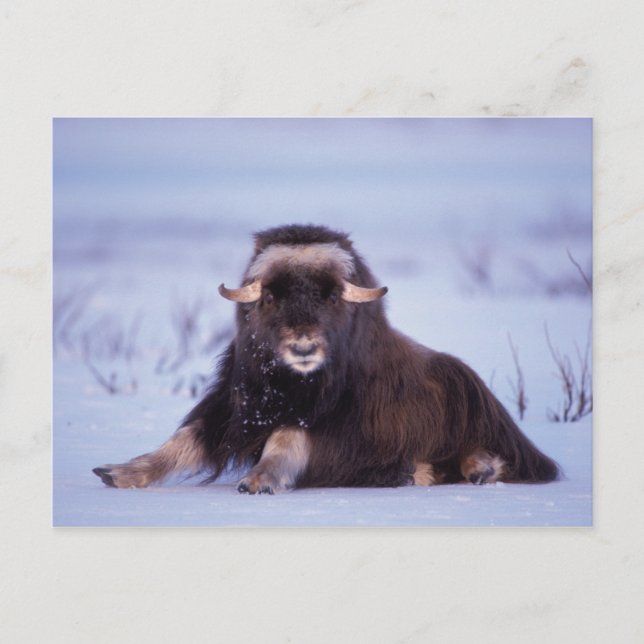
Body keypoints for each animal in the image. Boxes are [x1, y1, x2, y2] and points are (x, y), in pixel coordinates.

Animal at [93, 224, 559, 493]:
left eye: (332, 295)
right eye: (270, 296)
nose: (303, 347)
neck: (291, 385)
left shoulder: (343, 431)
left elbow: (287, 436)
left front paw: (258, 480)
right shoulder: (232, 408)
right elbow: (183, 440)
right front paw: (117, 472)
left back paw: (476, 469)